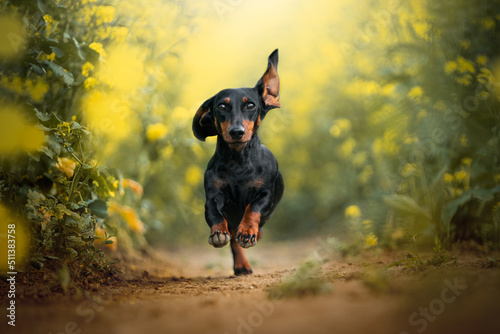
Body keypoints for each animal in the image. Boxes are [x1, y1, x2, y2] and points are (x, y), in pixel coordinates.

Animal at [192, 49, 284, 274]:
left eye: (250, 105)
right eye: (221, 105)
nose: (236, 132)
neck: (238, 162)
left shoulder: (265, 195)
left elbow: (253, 208)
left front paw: (248, 231)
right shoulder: (214, 195)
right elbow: (214, 212)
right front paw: (218, 232)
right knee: (233, 239)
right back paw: (241, 264)